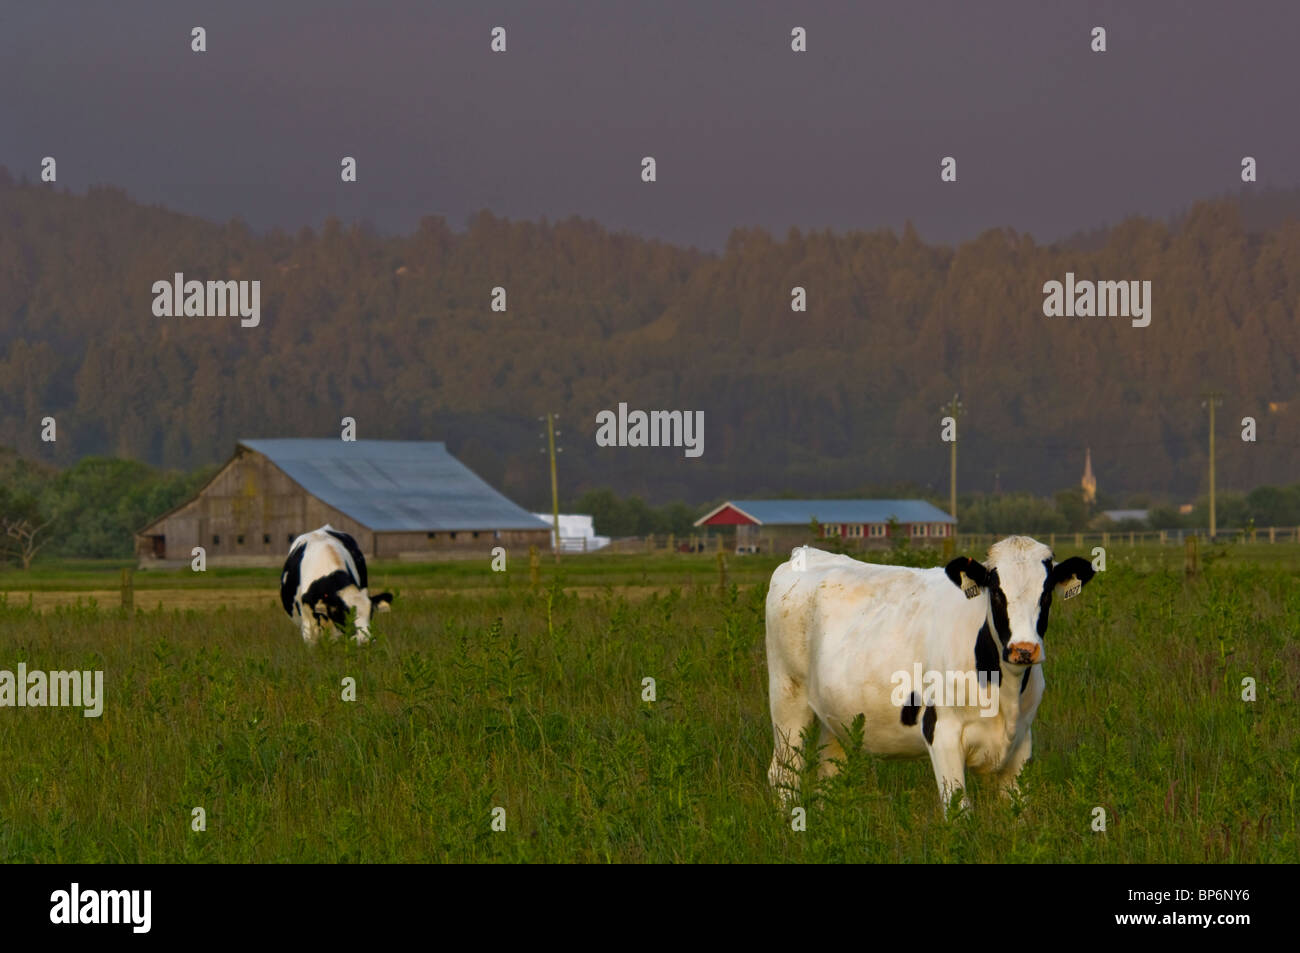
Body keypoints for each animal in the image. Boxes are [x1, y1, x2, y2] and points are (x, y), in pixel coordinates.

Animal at [764, 535, 1092, 811]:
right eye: (997, 593)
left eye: (1046, 594)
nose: (1023, 649)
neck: (1005, 692)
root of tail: (806, 553)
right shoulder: (942, 731)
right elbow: (958, 811)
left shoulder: (1022, 741)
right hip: (787, 697)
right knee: (784, 772)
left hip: (835, 716)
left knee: (828, 774)